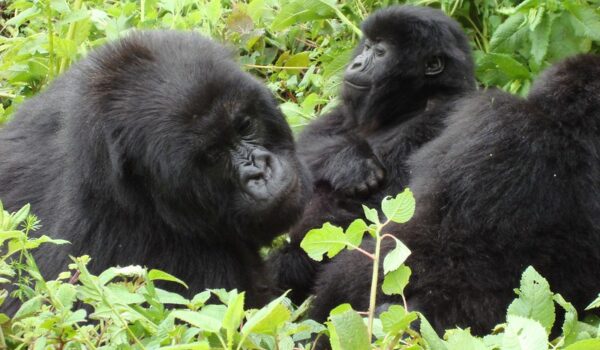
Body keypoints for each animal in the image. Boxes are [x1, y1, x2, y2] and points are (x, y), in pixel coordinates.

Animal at [270, 4, 476, 302]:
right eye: (366, 46)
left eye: (380, 53)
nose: (356, 63)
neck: (414, 102)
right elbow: (304, 148)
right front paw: (349, 164)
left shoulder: (445, 114)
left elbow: (395, 208)